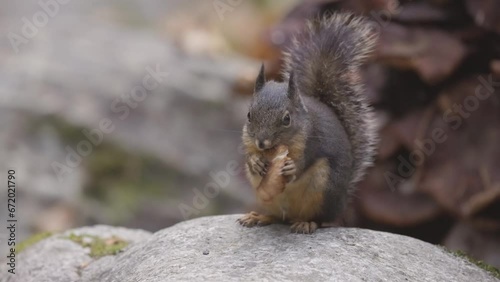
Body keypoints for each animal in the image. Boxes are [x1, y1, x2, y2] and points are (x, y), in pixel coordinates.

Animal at [237, 13, 376, 234]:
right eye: (249, 115)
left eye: (287, 119)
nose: (262, 143)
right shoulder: (248, 140)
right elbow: (249, 156)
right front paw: (255, 161)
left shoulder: (310, 141)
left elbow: (303, 163)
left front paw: (291, 168)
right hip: (268, 199)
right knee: (277, 217)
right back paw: (259, 216)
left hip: (324, 190)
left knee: (320, 219)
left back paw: (307, 223)